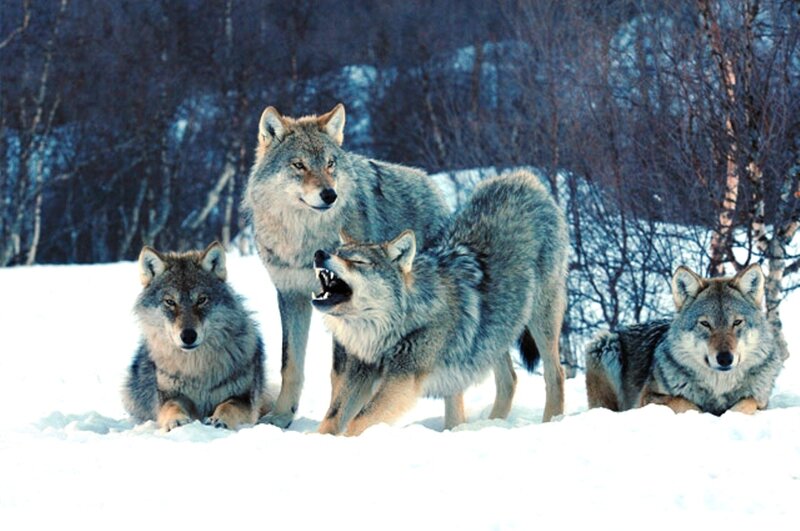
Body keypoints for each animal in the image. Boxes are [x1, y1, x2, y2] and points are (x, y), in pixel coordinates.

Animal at [123, 242, 267, 431]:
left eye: (201, 300)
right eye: (170, 302)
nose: (188, 336)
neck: (196, 367)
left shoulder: (243, 398)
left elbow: (228, 406)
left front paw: (218, 420)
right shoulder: (171, 396)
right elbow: (172, 406)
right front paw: (177, 421)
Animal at [242, 103, 449, 428]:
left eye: (330, 164)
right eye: (299, 165)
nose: (329, 194)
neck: (304, 238)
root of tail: (431, 183)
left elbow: (340, 376)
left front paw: (336, 423)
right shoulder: (291, 295)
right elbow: (290, 364)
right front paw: (281, 416)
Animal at [311, 170, 569, 436]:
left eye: (358, 262)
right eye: (338, 252)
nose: (319, 253)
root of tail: (523, 177)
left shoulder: (402, 380)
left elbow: (357, 422)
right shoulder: (360, 373)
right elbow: (333, 416)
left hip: (539, 322)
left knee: (556, 374)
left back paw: (550, 422)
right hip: (491, 337)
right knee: (509, 379)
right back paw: (489, 426)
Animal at [585, 264, 784, 415]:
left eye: (736, 322)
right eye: (705, 324)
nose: (725, 358)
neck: (718, 387)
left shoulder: (761, 401)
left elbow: (747, 403)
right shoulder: (648, 397)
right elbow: (685, 403)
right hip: (603, 344)